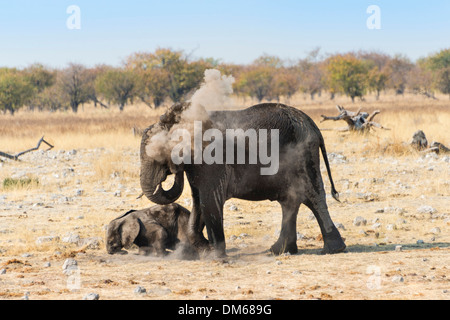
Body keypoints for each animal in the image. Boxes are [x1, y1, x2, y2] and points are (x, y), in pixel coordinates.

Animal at [139, 102, 346, 258]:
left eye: (157, 156)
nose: (171, 170)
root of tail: (313, 125)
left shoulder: (211, 160)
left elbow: (209, 200)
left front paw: (216, 256)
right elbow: (198, 201)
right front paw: (205, 251)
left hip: (303, 154)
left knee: (312, 196)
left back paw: (333, 250)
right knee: (291, 200)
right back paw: (280, 251)